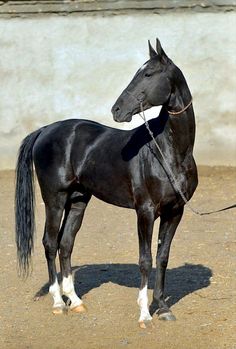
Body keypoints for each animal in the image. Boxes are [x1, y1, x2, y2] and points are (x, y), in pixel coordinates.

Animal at [15, 39, 197, 324]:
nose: (117, 110)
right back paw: (58, 302)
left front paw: (162, 307)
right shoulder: (145, 212)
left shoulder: (175, 212)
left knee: (65, 244)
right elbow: (145, 260)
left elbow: (162, 257)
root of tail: (45, 130)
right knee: (50, 243)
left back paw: (76, 301)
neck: (169, 152)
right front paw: (144, 314)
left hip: (78, 200)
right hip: (55, 199)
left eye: (148, 74)